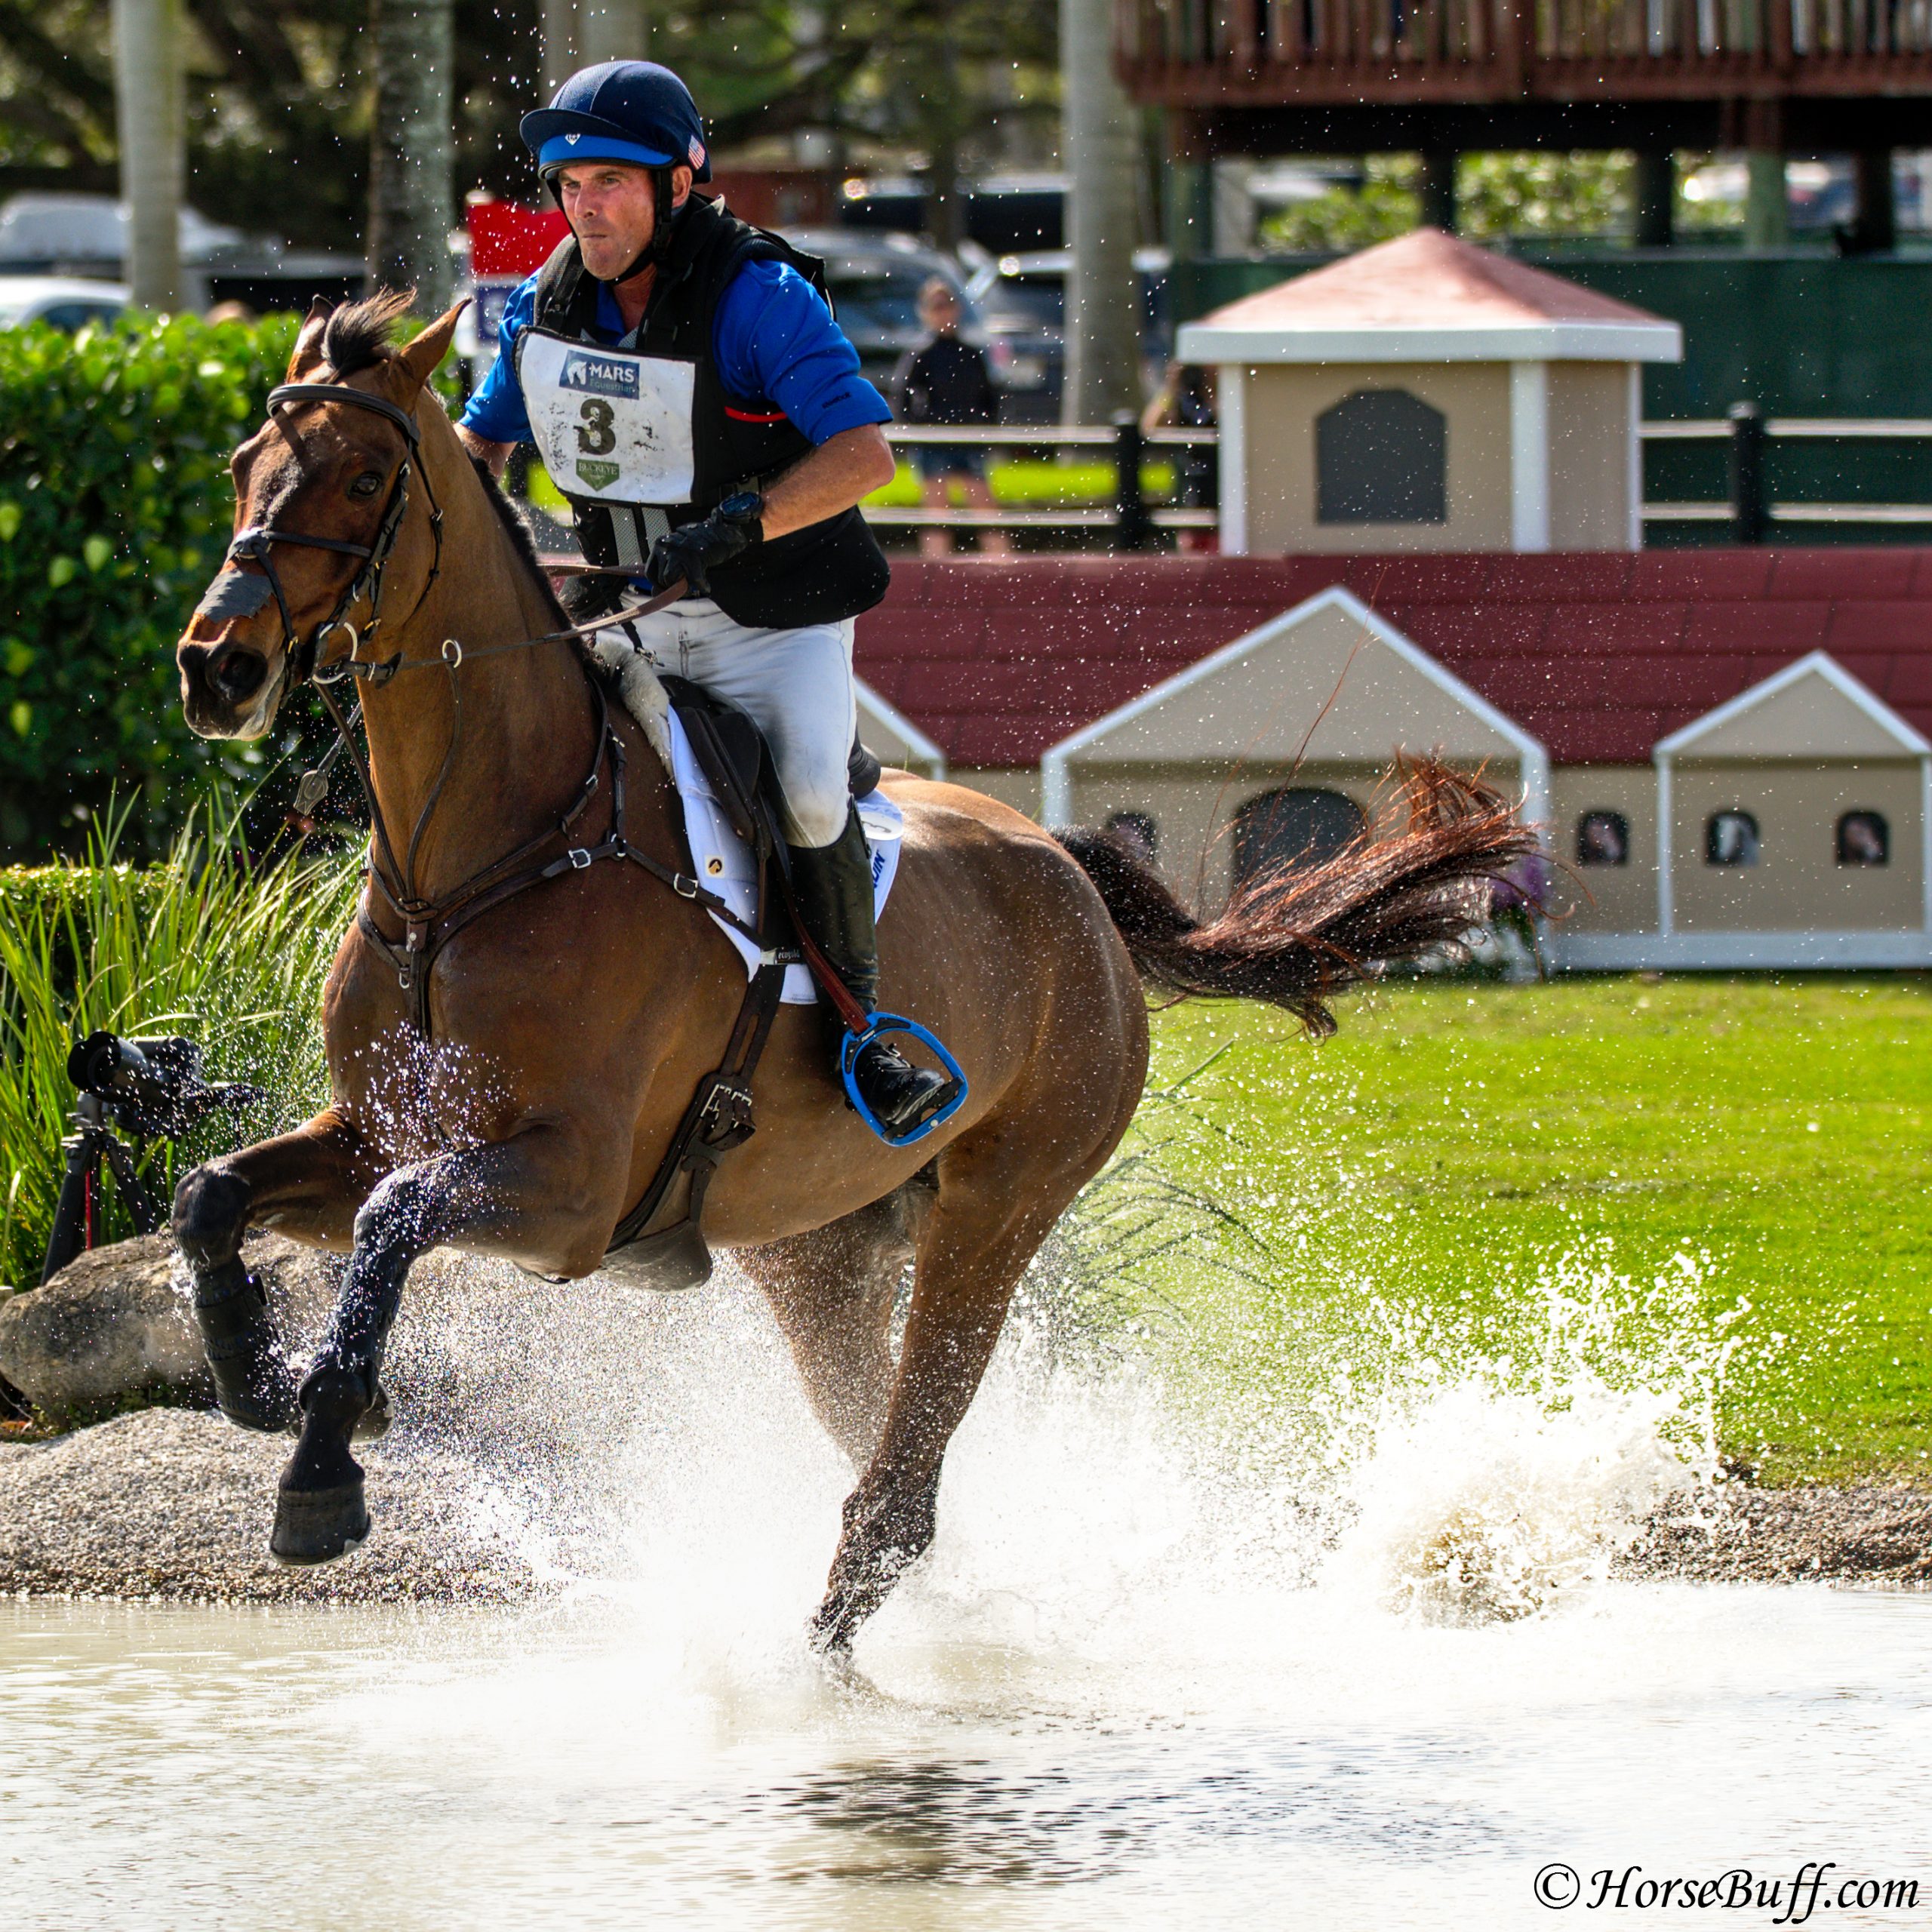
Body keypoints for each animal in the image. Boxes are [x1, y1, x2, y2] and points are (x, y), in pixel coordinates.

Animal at [177, 294, 1537, 1654]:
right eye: (243, 465)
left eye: (365, 477)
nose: (216, 665)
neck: (478, 867)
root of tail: (1074, 875)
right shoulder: (374, 1130)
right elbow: (215, 1196)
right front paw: (265, 1381)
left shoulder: (571, 1191)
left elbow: (394, 1217)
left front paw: (323, 1466)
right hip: (816, 1248)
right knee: (880, 1427)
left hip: (997, 1209)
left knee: (910, 1459)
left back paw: (842, 1632)